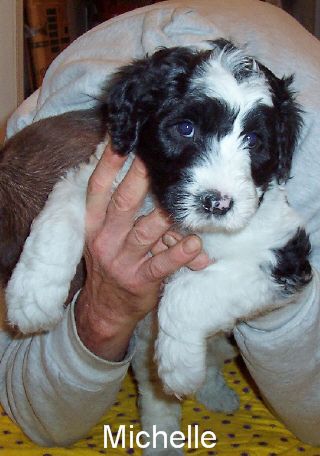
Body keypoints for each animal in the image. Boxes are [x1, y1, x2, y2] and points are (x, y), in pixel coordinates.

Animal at [1, 41, 312, 450]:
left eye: (254, 141)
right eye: (185, 128)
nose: (218, 203)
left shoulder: (284, 253)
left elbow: (186, 290)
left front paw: (180, 363)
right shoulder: (91, 183)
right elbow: (55, 222)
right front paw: (32, 299)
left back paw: (209, 389)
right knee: (155, 394)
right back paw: (163, 440)